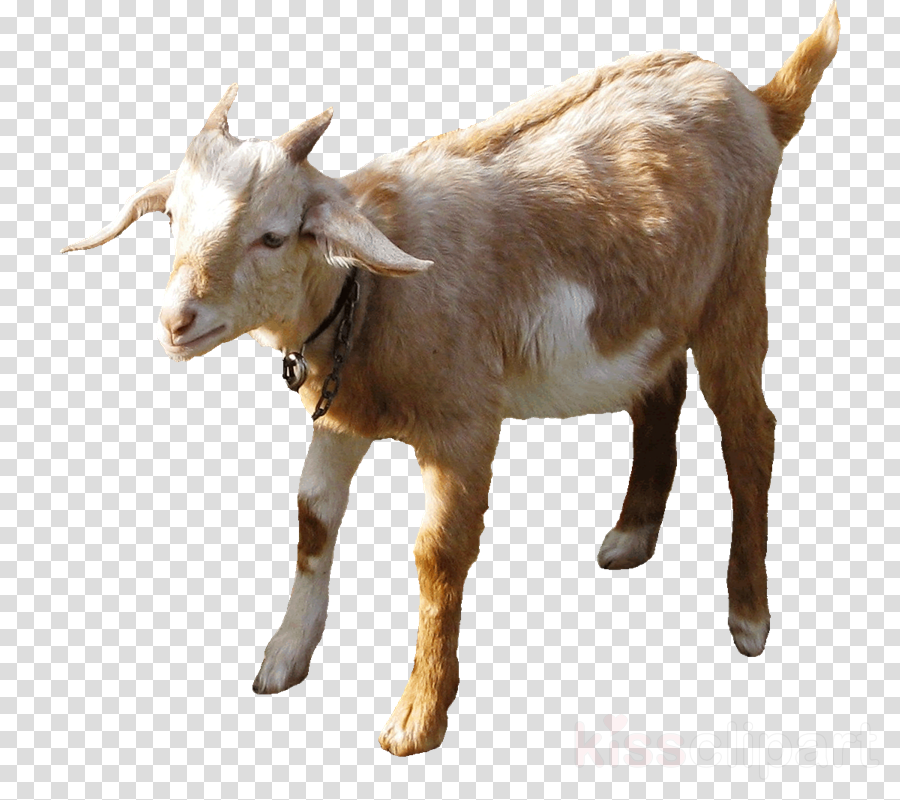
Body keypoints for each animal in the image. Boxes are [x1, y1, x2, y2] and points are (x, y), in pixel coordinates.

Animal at [62, 3, 840, 757]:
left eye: (274, 236)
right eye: (173, 221)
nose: (177, 321)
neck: (369, 288)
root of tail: (757, 104)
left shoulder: (463, 423)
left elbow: (438, 553)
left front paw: (417, 720)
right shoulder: (345, 411)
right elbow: (314, 517)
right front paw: (284, 658)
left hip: (733, 293)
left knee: (751, 439)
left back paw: (748, 617)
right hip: (656, 312)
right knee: (660, 395)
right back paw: (630, 536)